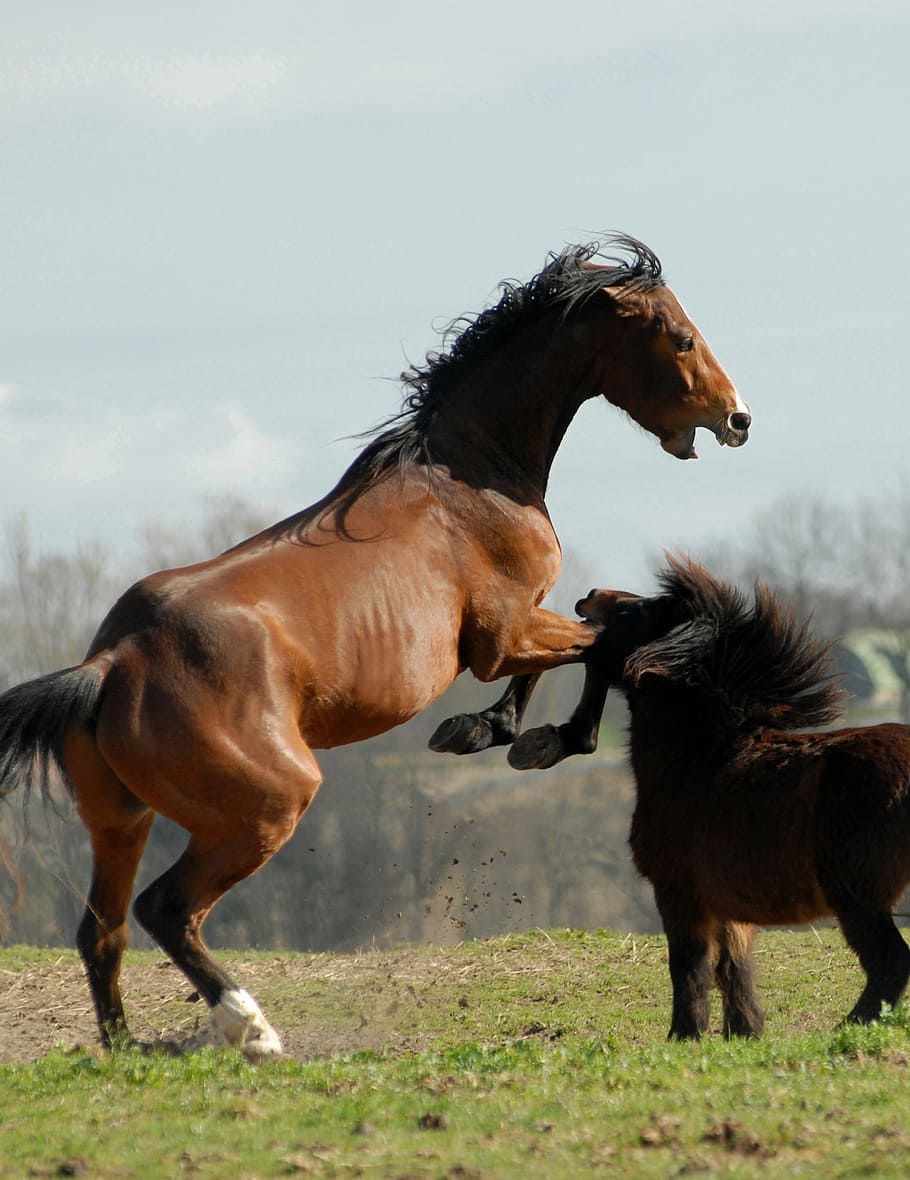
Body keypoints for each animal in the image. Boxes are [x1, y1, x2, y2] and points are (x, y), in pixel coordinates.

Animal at [0, 234, 755, 1057]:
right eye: (680, 338)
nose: (738, 418)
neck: (469, 478)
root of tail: (113, 662)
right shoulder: (504, 634)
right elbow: (605, 644)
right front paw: (543, 738)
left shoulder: (519, 628)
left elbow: (594, 640)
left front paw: (489, 730)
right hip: (263, 808)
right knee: (166, 910)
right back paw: (252, 1028)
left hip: (121, 820)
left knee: (101, 932)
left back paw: (127, 1050)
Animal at [509, 556, 910, 1038]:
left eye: (635, 612)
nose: (589, 595)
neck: (701, 758)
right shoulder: (728, 904)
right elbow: (732, 968)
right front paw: (744, 1032)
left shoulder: (679, 892)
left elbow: (688, 965)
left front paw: (684, 1035)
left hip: (856, 895)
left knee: (890, 962)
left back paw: (848, 1028)